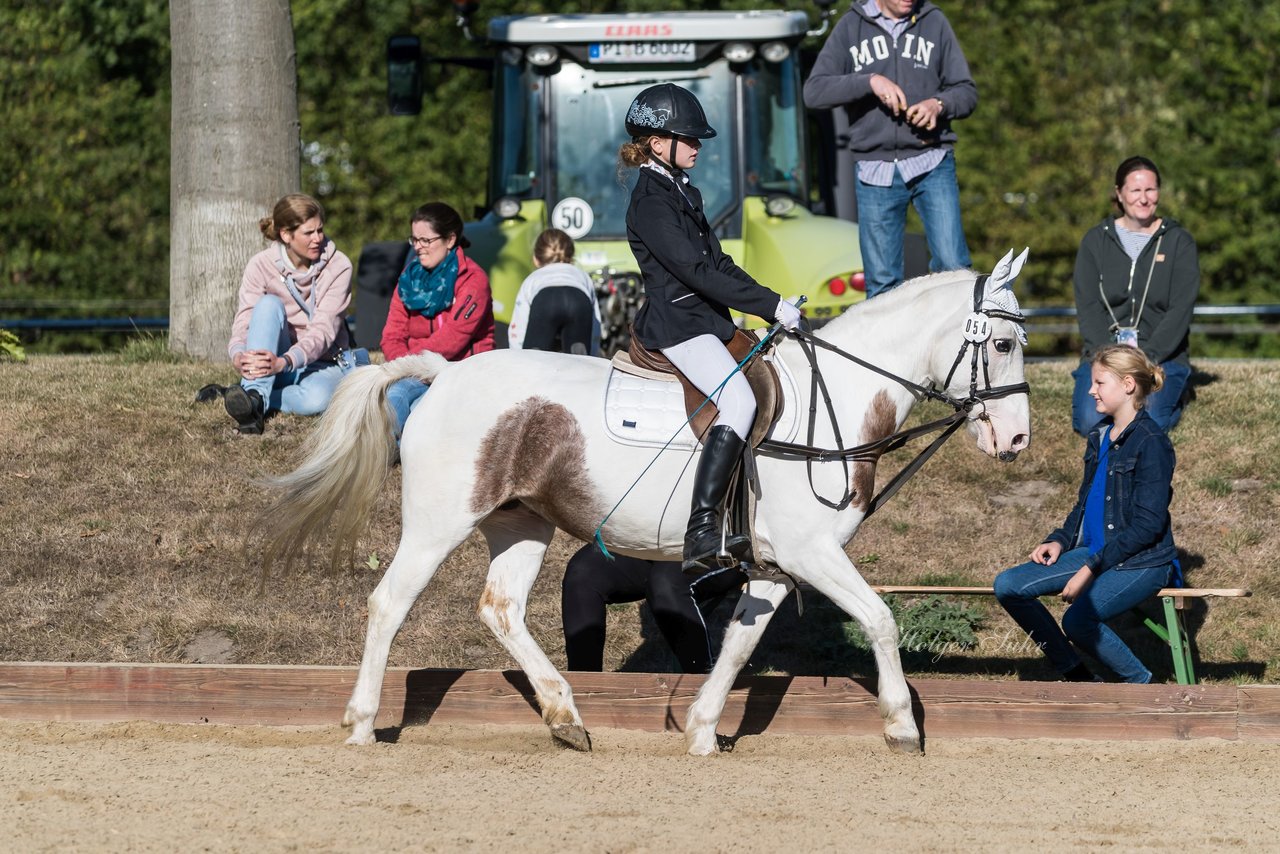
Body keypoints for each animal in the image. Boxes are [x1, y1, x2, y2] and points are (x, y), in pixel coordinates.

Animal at [264, 248, 1034, 752]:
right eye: (1001, 342)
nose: (1018, 437)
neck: (836, 400)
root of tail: (444, 373)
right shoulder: (812, 553)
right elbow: (879, 619)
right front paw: (902, 725)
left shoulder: (776, 566)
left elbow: (737, 646)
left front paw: (701, 729)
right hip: (438, 522)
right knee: (390, 603)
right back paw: (362, 724)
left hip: (523, 525)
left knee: (501, 608)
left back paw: (565, 718)